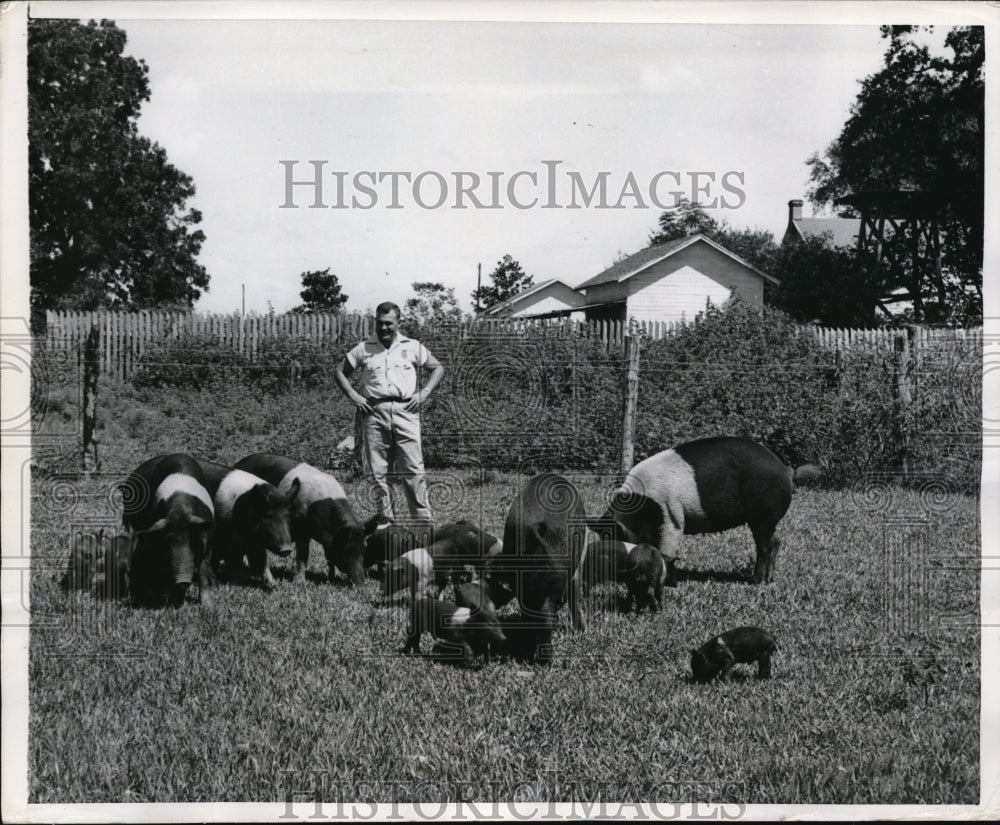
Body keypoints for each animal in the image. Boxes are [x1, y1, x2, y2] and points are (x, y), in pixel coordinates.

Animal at [235, 458, 368, 584]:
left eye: (364, 548)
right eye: (347, 548)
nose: (361, 581)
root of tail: (238, 464)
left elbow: (328, 557)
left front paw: (331, 579)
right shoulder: (301, 528)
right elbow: (303, 555)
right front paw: (299, 582)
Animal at [588, 434, 816, 584]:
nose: (612, 578)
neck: (641, 510)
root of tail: (785, 470)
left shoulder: (672, 518)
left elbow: (666, 551)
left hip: (762, 513)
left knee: (765, 545)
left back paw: (756, 581)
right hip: (764, 519)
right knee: (775, 541)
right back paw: (769, 580)